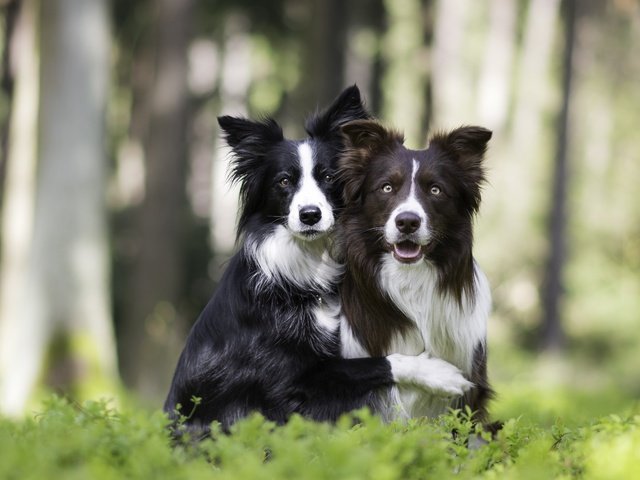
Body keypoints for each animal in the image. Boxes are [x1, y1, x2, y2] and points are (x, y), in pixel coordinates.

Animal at [162, 86, 472, 436]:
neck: (304, 271)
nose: (310, 215)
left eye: (328, 176)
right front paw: (441, 374)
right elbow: (378, 362)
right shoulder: (289, 382)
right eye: (284, 181)